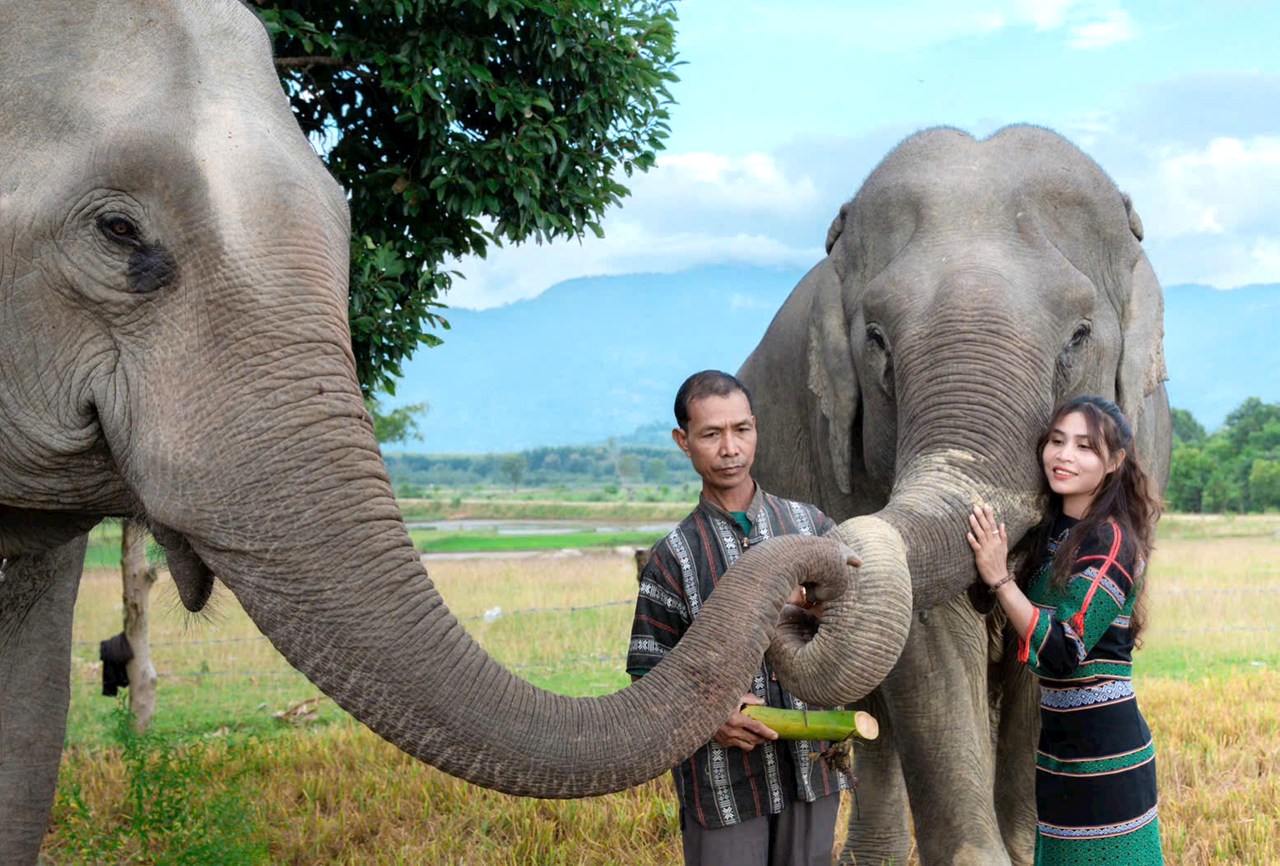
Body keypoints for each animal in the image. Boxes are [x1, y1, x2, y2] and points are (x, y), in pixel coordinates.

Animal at [738, 125, 1172, 864]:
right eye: (877, 341)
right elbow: (928, 638)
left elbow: (1048, 658)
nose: (818, 575)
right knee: (875, 713)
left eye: (1078, 336)